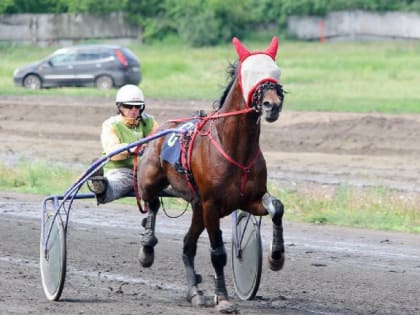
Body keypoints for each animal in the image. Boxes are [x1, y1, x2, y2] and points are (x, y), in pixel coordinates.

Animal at [138, 37, 286, 314]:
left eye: (276, 71)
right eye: (248, 73)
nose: (272, 105)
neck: (235, 148)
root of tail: (163, 128)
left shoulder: (250, 199)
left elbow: (276, 208)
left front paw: (276, 257)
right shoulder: (211, 205)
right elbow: (218, 253)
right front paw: (223, 299)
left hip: (197, 209)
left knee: (187, 245)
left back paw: (195, 292)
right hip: (154, 180)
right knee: (151, 202)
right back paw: (147, 247)